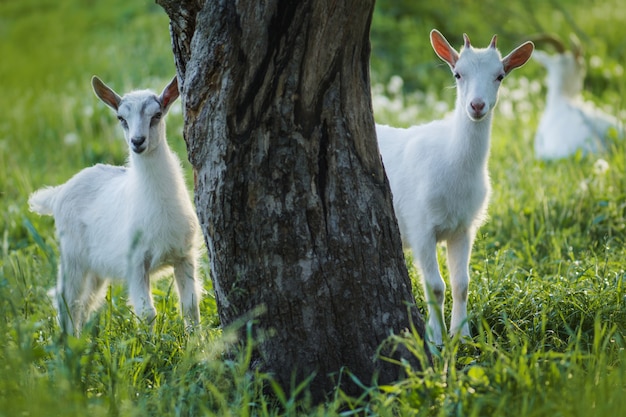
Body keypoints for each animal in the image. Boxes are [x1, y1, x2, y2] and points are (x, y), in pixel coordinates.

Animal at [28, 75, 200, 334]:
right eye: (121, 119)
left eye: (157, 115)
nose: (137, 141)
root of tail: (58, 193)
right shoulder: (135, 261)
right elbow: (147, 313)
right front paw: (151, 344)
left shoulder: (184, 254)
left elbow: (190, 306)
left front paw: (198, 343)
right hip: (72, 254)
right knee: (65, 296)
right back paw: (67, 341)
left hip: (96, 266)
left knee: (85, 301)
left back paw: (79, 338)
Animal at [376, 30, 532, 344]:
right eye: (458, 74)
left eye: (500, 76)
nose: (477, 105)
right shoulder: (420, 226)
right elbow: (435, 286)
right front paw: (436, 339)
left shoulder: (463, 227)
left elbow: (461, 283)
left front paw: (462, 335)